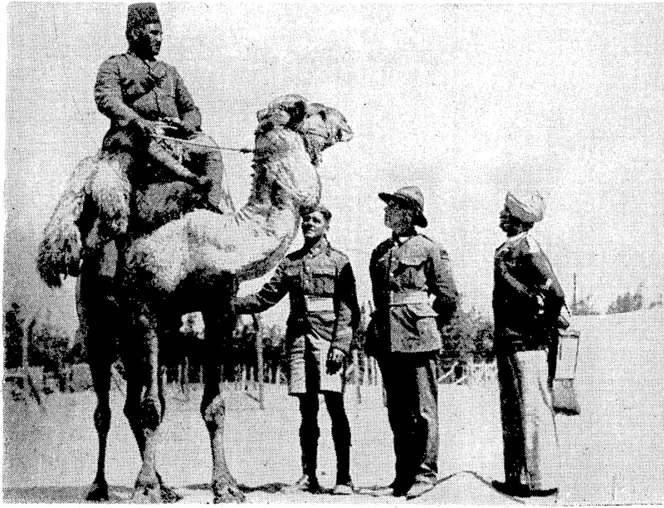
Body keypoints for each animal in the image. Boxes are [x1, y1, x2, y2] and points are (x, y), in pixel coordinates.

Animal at [37, 93, 352, 502]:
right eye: (315, 110)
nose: (345, 124)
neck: (205, 241)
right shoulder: (147, 310)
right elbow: (152, 407)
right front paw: (143, 489)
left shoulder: (218, 310)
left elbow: (211, 405)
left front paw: (226, 486)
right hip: (95, 320)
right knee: (104, 407)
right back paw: (101, 487)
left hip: (148, 332)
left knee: (129, 403)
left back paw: (165, 485)